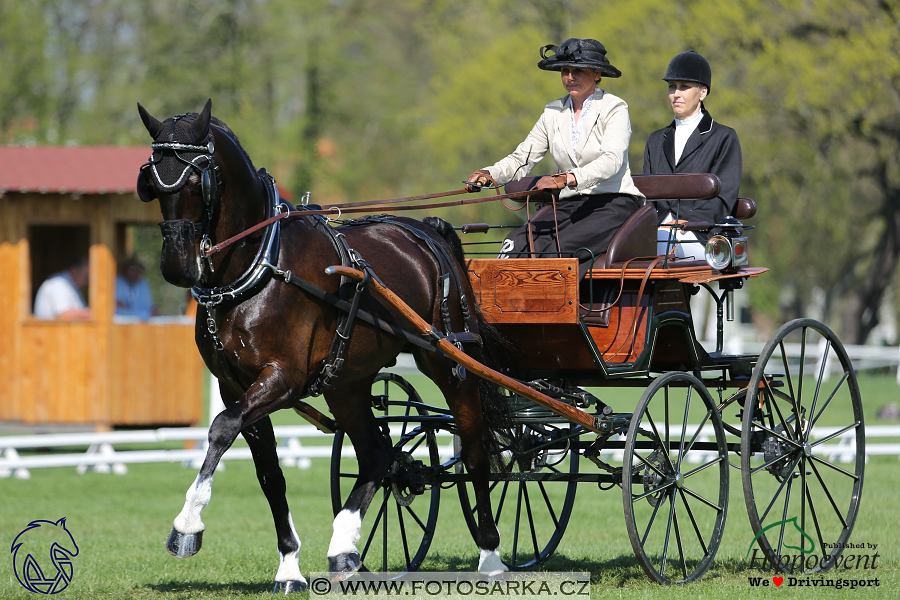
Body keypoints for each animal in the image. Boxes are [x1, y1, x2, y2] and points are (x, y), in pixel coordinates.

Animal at [136, 101, 510, 592]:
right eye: (151, 177)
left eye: (199, 177)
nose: (177, 265)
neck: (260, 264)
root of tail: (426, 230)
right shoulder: (234, 385)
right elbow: (269, 474)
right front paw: (289, 565)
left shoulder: (282, 379)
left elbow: (220, 427)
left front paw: (187, 525)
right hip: (346, 382)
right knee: (377, 454)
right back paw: (344, 547)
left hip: (449, 364)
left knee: (475, 448)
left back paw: (490, 554)